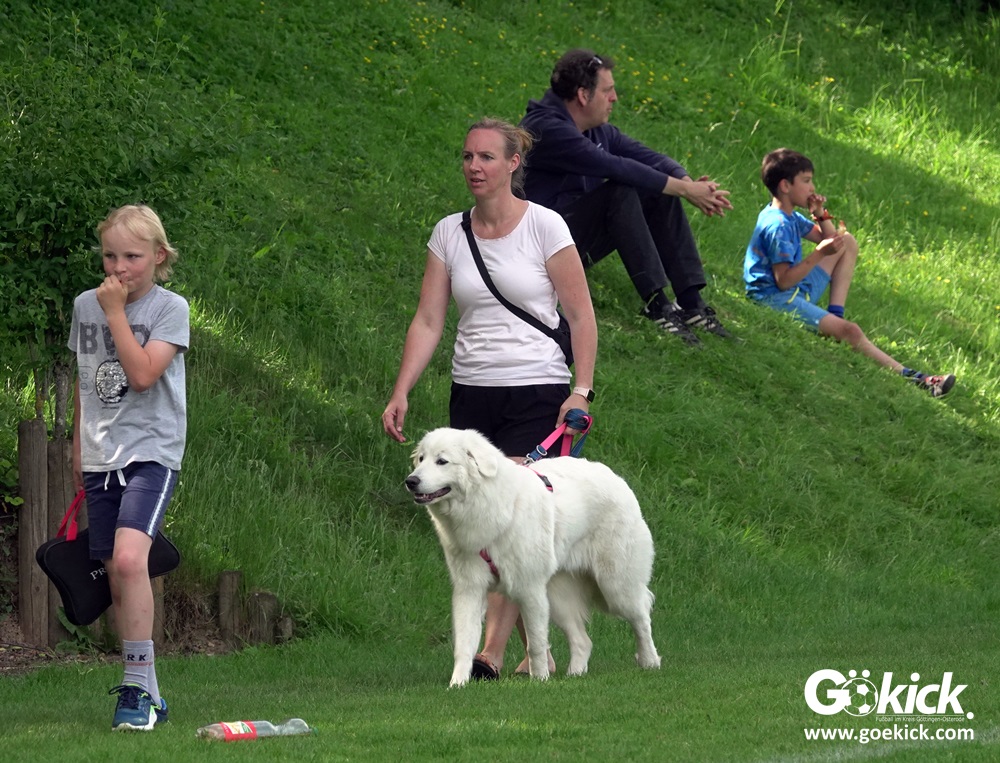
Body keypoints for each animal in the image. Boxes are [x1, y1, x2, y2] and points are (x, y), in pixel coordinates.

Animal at [405, 427, 661, 687]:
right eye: (421, 459)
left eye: (442, 461)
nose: (411, 481)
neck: (488, 504)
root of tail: (617, 479)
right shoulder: (470, 589)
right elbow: (464, 645)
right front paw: (457, 684)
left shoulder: (529, 589)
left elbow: (535, 644)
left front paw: (539, 681)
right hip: (559, 598)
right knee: (583, 640)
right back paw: (576, 674)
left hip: (615, 587)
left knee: (641, 617)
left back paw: (650, 662)